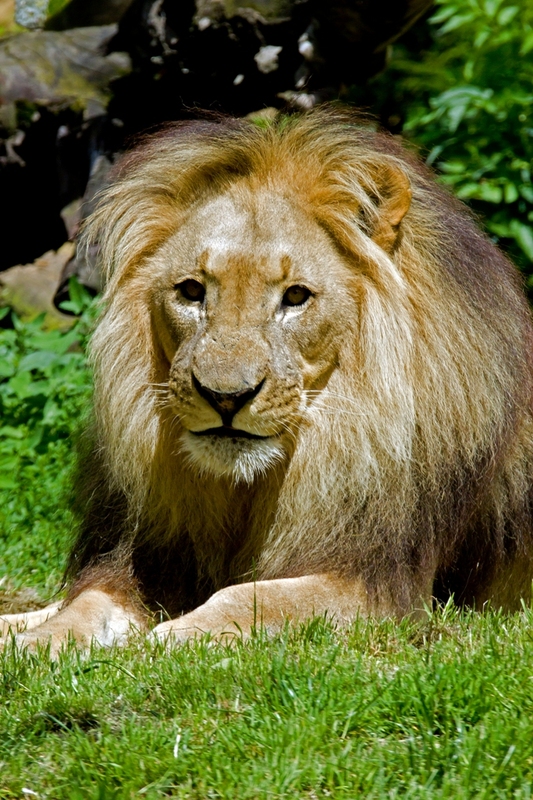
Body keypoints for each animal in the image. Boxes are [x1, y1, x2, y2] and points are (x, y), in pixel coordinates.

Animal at [3, 107, 533, 654]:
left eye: (295, 297)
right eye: (191, 291)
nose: (225, 397)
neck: (248, 488)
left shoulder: (377, 584)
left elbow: (253, 596)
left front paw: (172, 635)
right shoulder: (146, 562)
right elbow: (81, 606)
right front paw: (30, 642)